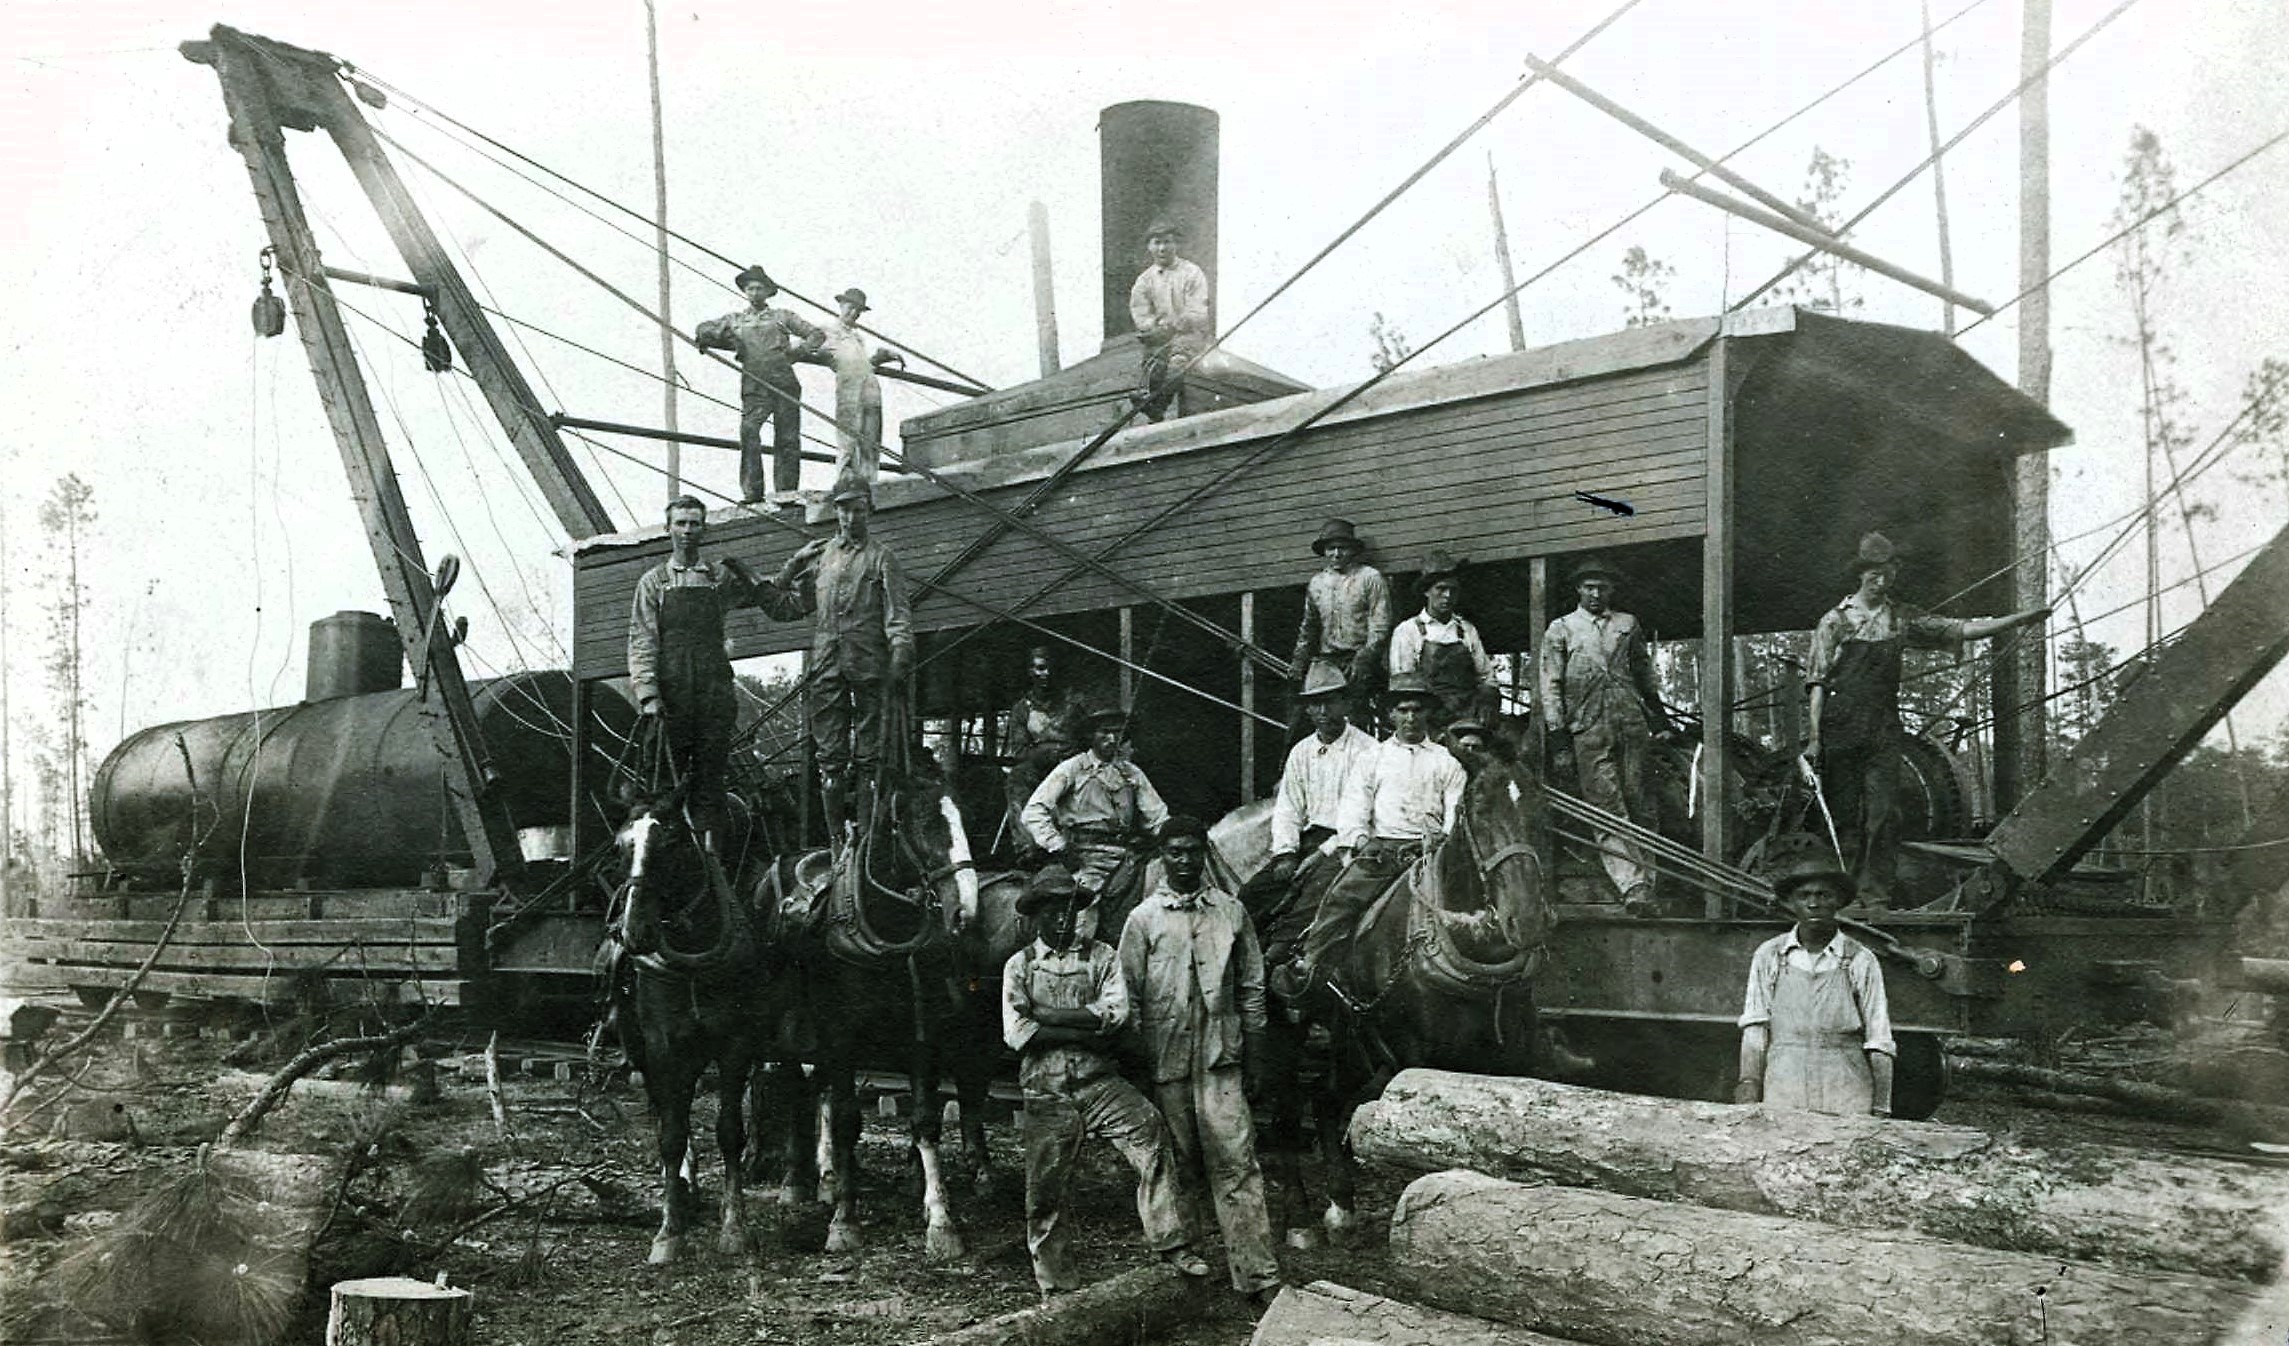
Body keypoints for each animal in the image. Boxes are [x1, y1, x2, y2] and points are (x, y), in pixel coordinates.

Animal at [605, 791, 785, 1264]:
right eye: (619, 846)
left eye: (671, 844)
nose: (634, 931)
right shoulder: (663, 1048)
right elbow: (671, 1134)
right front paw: (668, 1234)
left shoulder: (735, 1046)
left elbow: (729, 1132)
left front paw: (735, 1227)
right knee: (666, 1116)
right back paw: (683, 1191)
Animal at [1212, 747, 1554, 1249]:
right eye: (1479, 811)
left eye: (1539, 807)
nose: (1526, 921)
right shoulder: (1419, 1062)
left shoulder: (1507, 1061)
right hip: (1287, 1031)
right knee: (1290, 1113)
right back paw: (1299, 1220)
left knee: (1324, 1099)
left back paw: (1340, 1205)